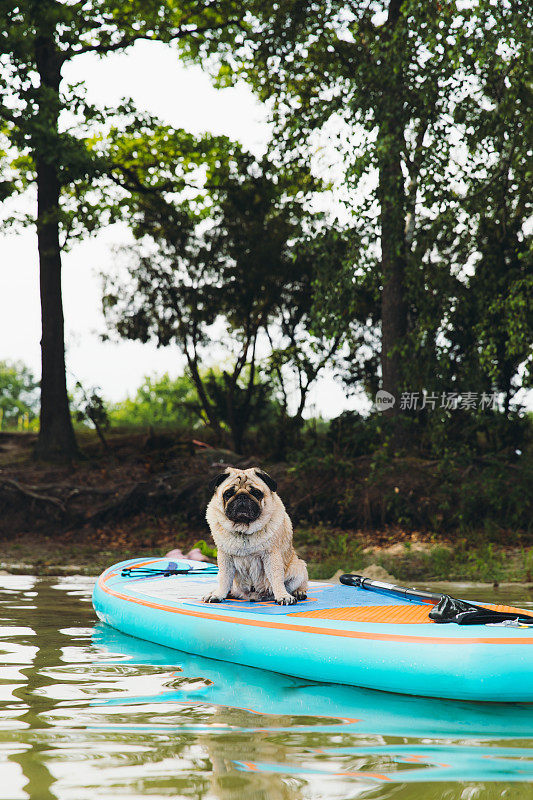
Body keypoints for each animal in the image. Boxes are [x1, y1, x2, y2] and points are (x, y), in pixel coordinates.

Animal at [203, 466, 308, 604]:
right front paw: (218, 594)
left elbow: (276, 578)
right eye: (228, 494)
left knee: (299, 584)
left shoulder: (271, 555)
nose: (242, 496)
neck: (243, 529)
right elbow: (224, 579)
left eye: (256, 493)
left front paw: (283, 596)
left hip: (299, 567)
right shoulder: (225, 557)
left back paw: (299, 592)